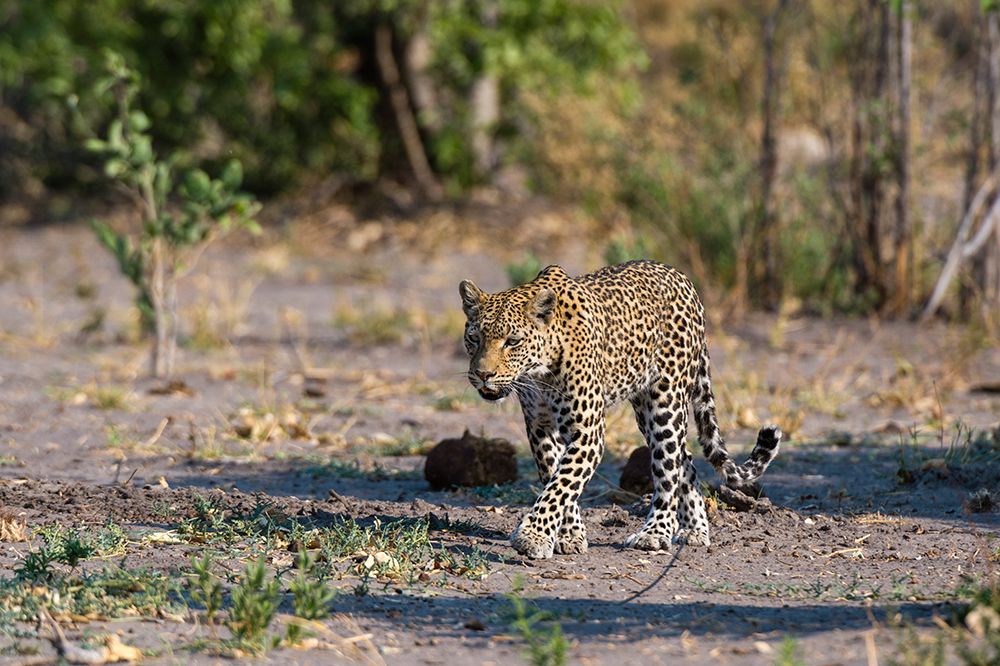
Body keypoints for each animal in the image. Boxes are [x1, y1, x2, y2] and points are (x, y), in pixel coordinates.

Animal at [458, 260, 781, 559]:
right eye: (474, 338)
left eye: (512, 341)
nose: (483, 374)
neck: (539, 372)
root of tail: (683, 278)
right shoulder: (541, 428)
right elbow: (556, 478)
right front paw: (569, 535)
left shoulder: (588, 432)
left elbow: (561, 484)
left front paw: (532, 536)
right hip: (644, 410)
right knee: (685, 458)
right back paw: (695, 529)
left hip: (665, 403)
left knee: (668, 468)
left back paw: (655, 533)